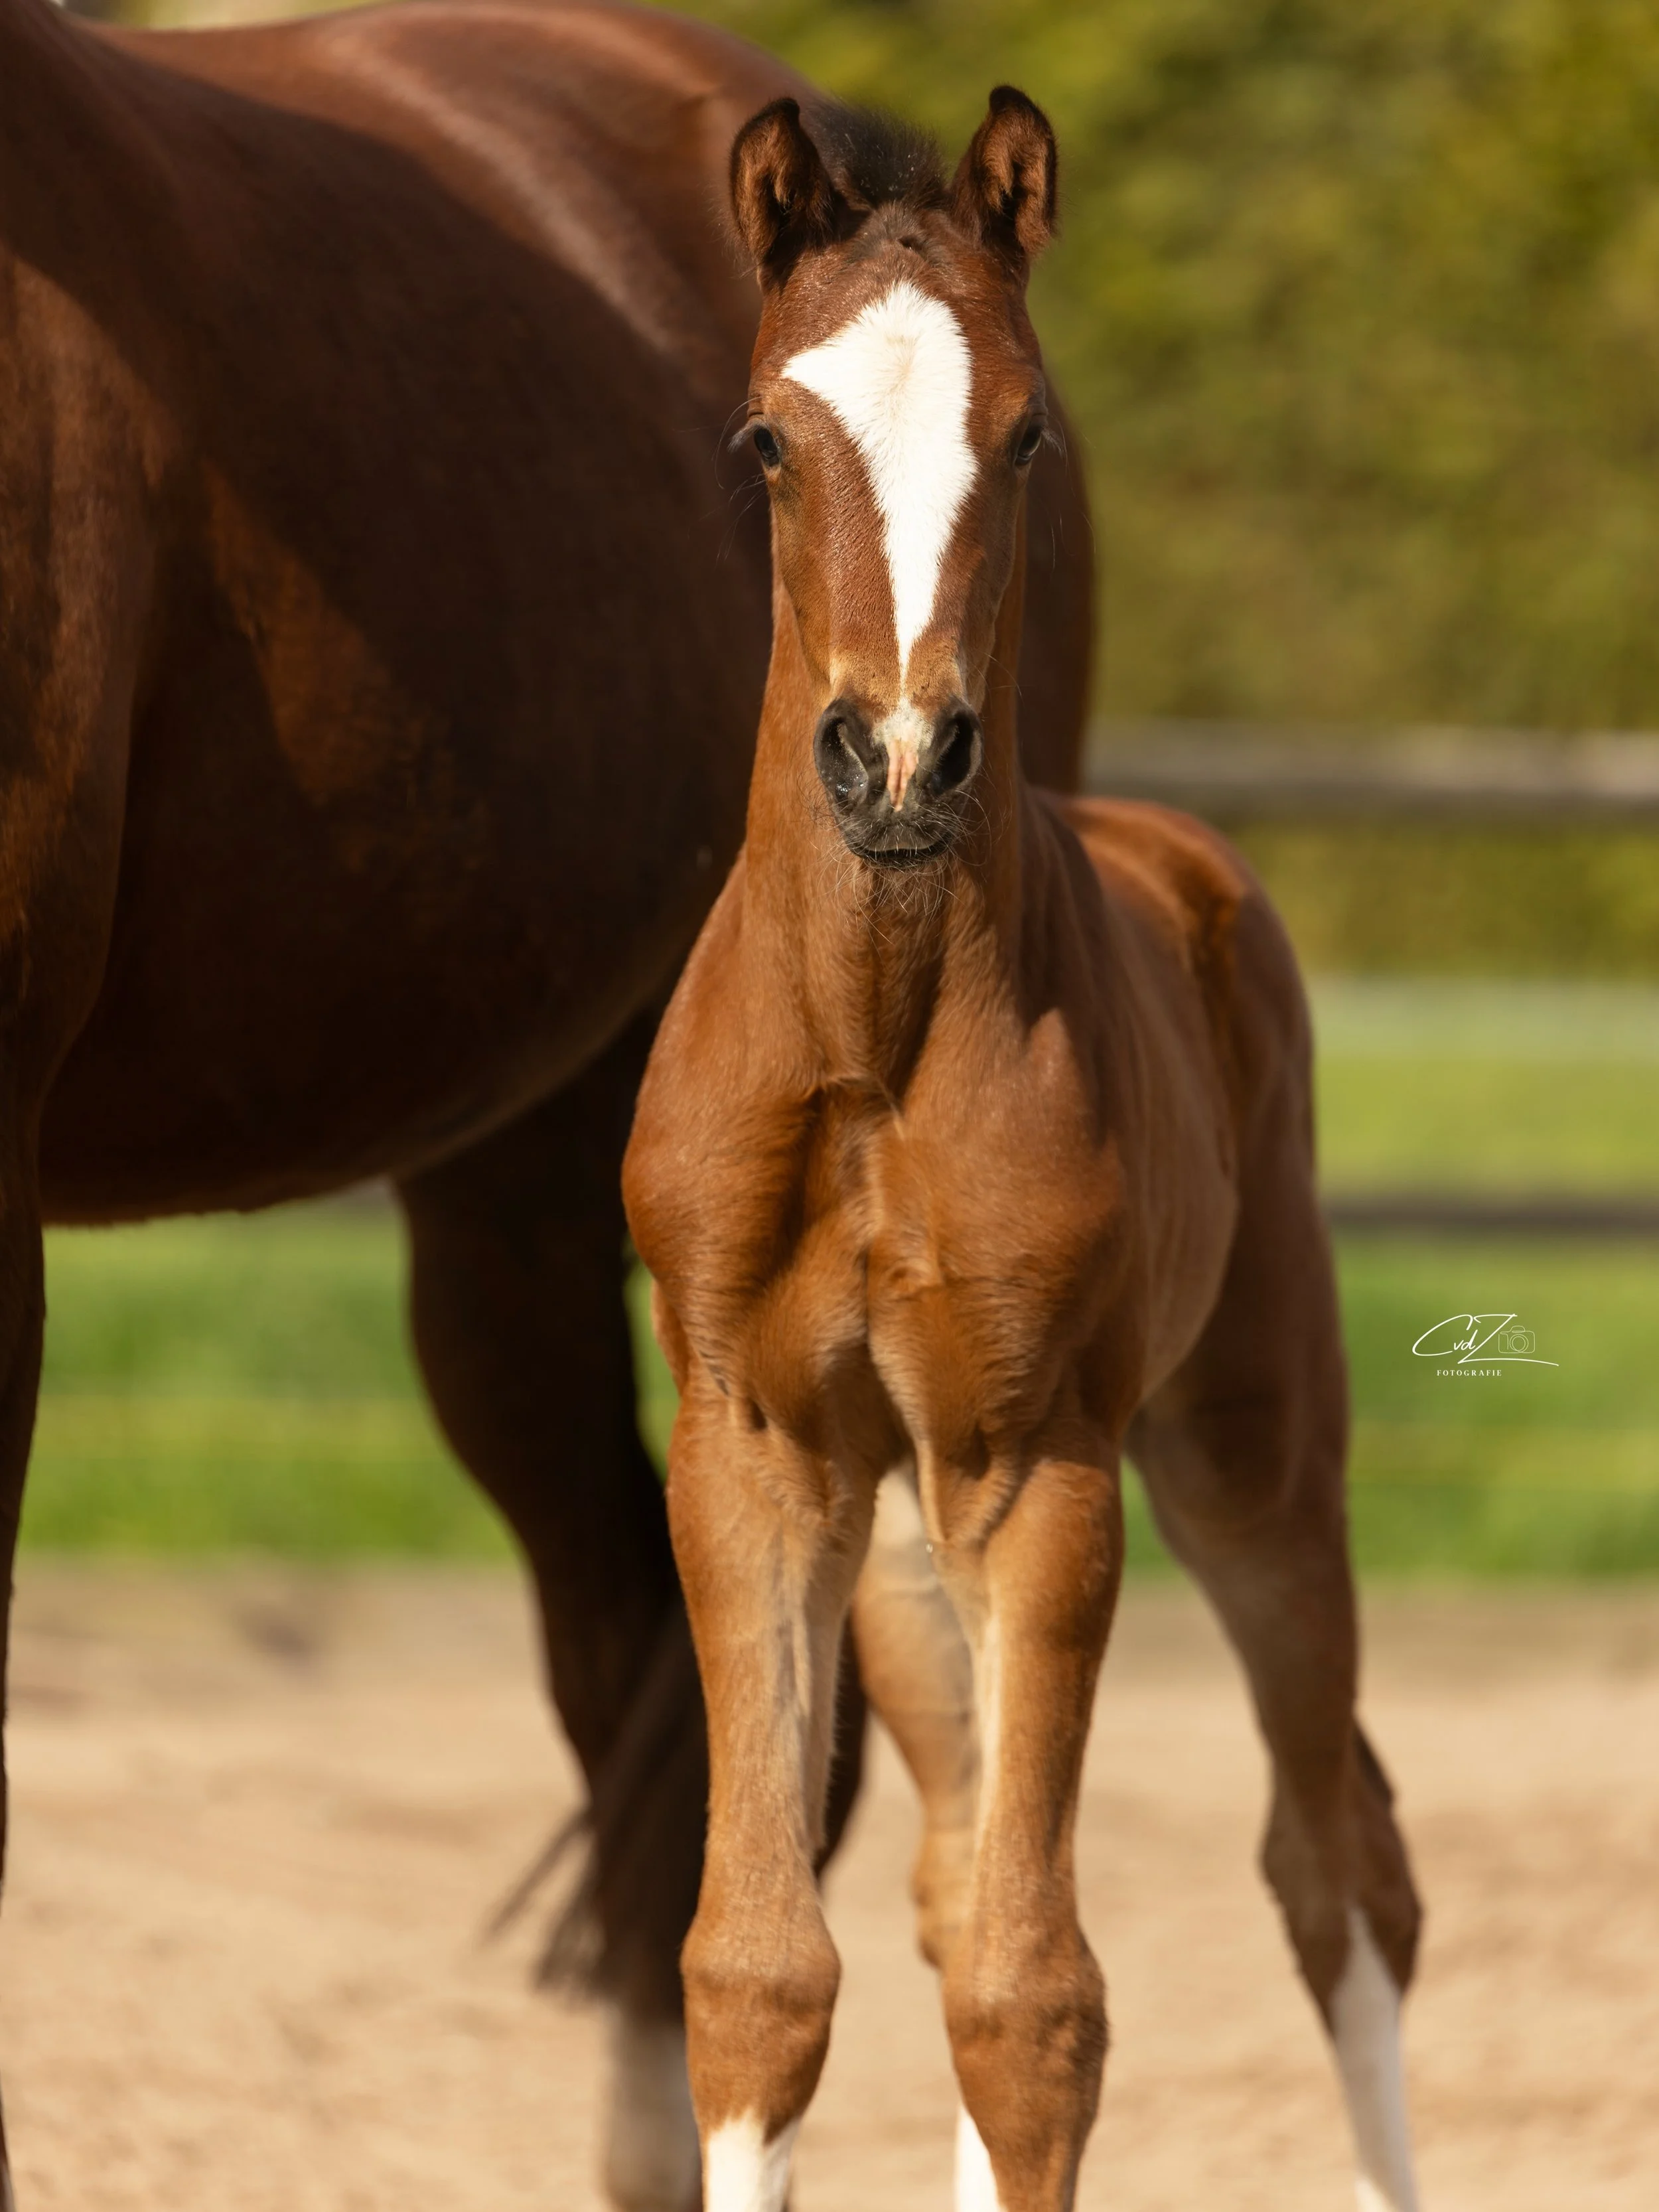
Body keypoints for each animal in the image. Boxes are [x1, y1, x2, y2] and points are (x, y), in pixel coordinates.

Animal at [623, 88, 1425, 2212]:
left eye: (1029, 431)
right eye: (764, 434)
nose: (899, 760)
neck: (872, 1044)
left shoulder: (1039, 1461)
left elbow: (1035, 2001)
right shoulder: (755, 1449)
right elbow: (761, 1972)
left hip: (1250, 1462)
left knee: (1341, 1865)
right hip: (904, 1563)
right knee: (949, 1875)